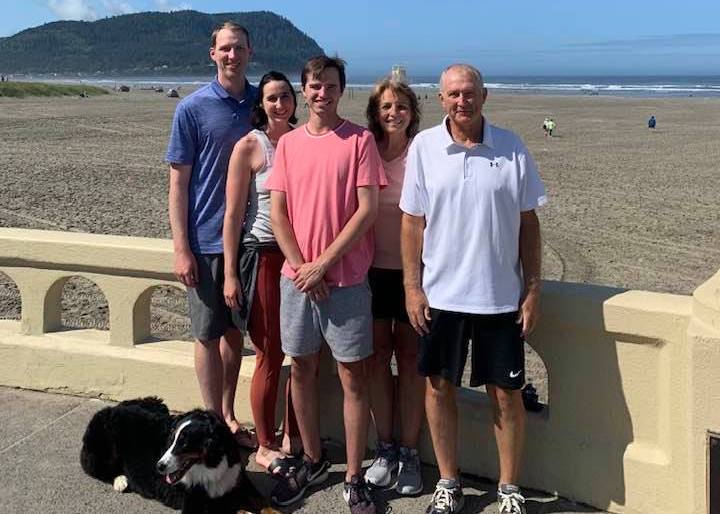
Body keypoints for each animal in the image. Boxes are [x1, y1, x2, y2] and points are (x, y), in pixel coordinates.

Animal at [80, 396, 278, 512]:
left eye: (184, 443)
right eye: (171, 439)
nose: (159, 467)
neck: (212, 465)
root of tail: (112, 408)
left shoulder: (238, 480)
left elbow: (264, 503)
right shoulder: (199, 503)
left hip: (158, 403)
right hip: (102, 449)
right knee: (97, 468)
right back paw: (121, 480)